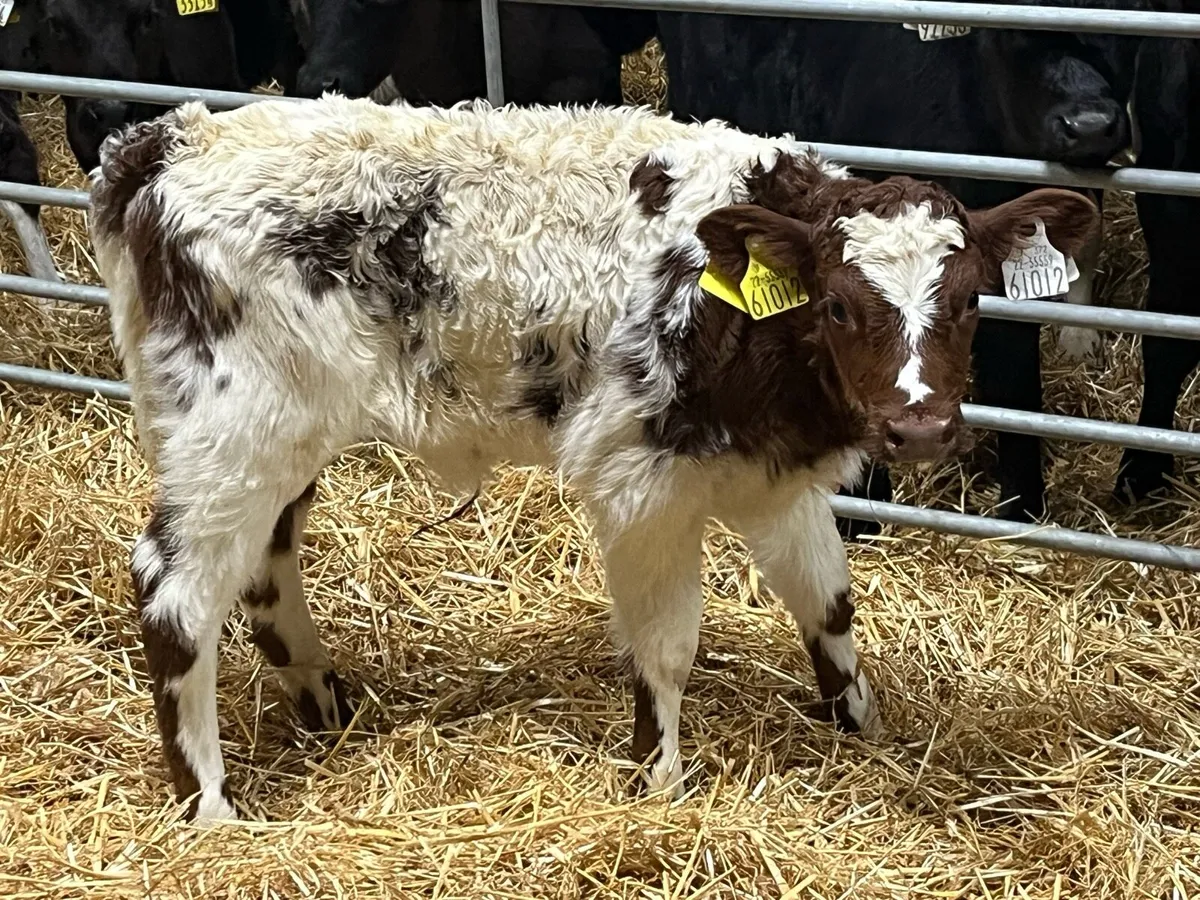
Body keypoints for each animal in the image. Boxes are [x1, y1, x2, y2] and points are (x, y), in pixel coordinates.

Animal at [89, 96, 1097, 820]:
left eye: (968, 300)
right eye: (842, 305)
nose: (919, 429)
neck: (733, 307)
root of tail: (166, 142)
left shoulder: (769, 474)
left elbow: (828, 606)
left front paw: (864, 730)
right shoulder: (639, 478)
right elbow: (666, 648)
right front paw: (660, 782)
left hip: (276, 435)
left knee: (266, 568)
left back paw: (325, 706)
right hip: (234, 429)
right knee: (177, 595)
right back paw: (209, 806)